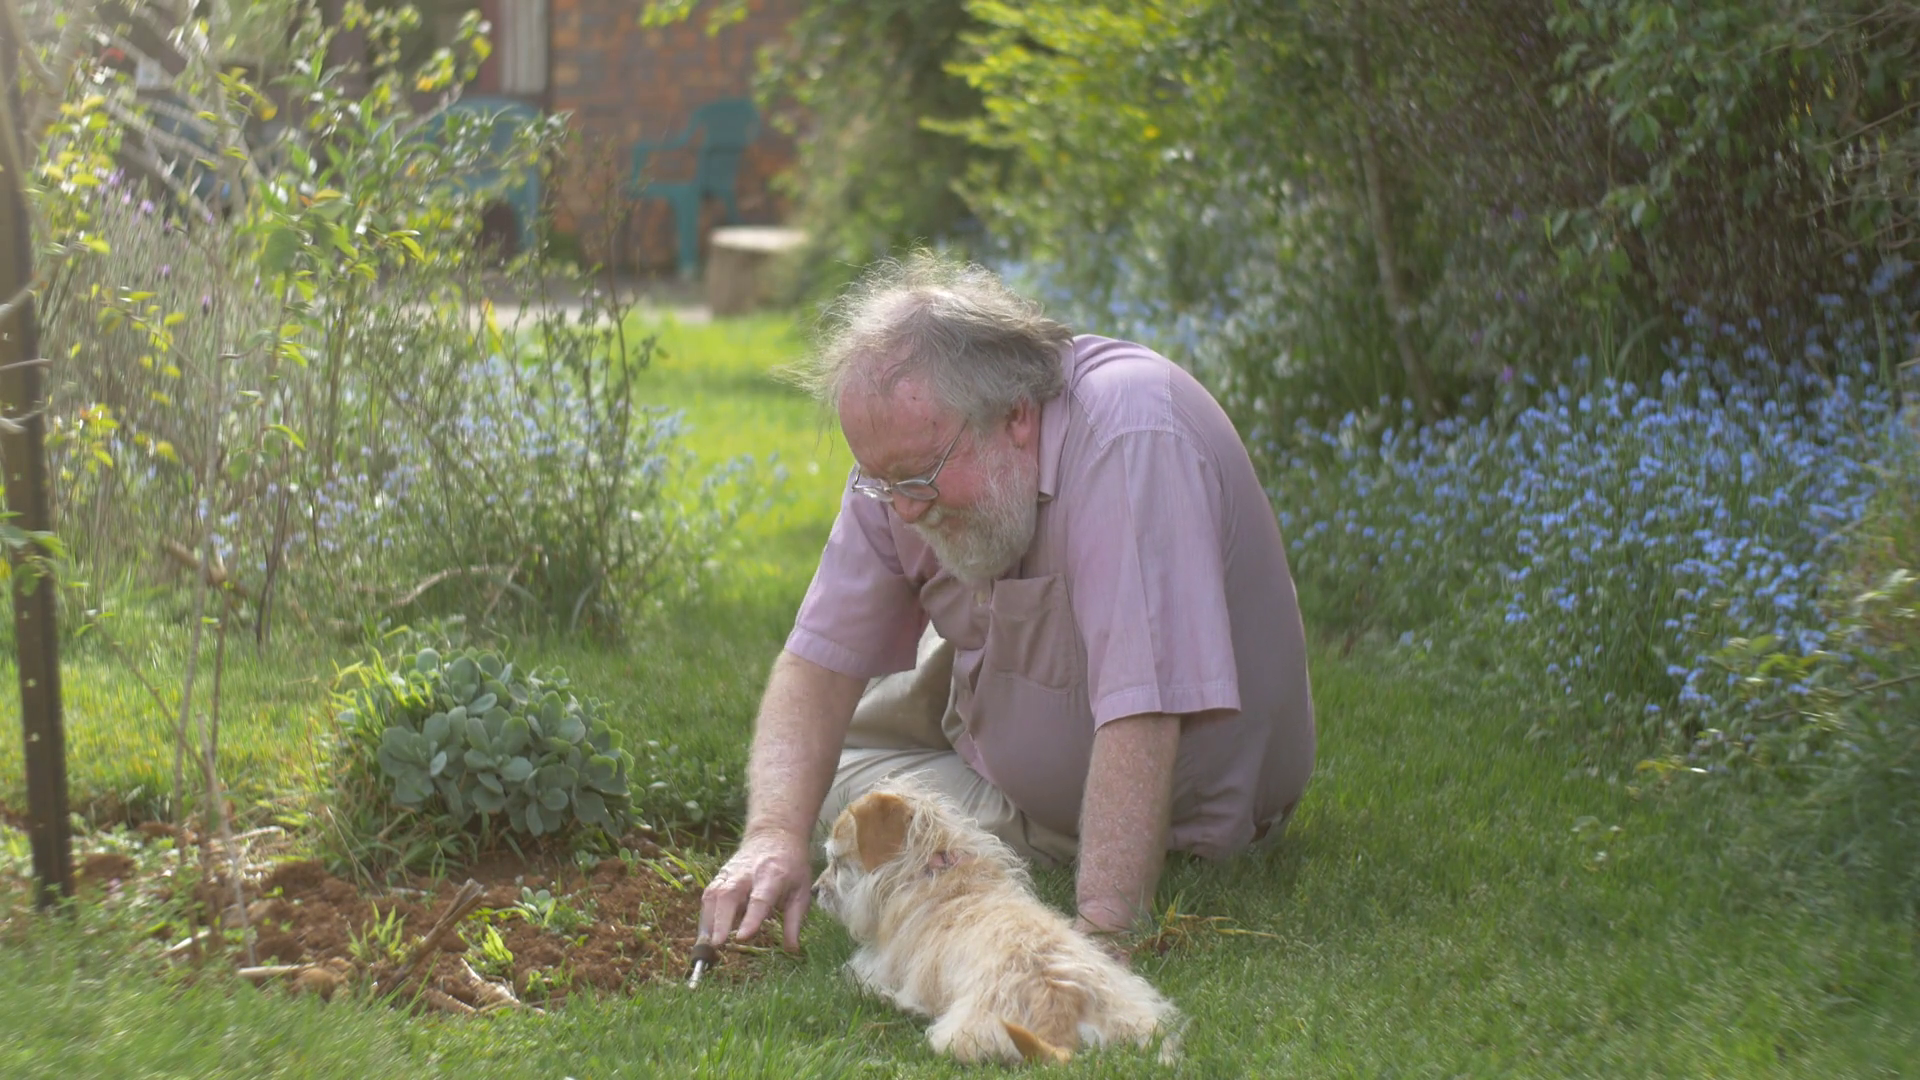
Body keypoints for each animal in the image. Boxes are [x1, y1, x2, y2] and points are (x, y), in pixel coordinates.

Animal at [812, 784, 1182, 1065]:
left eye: (837, 863)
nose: (815, 889)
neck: (933, 870)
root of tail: (1063, 1012)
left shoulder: (878, 965)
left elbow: (855, 974)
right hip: (1139, 1012)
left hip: (964, 1032)